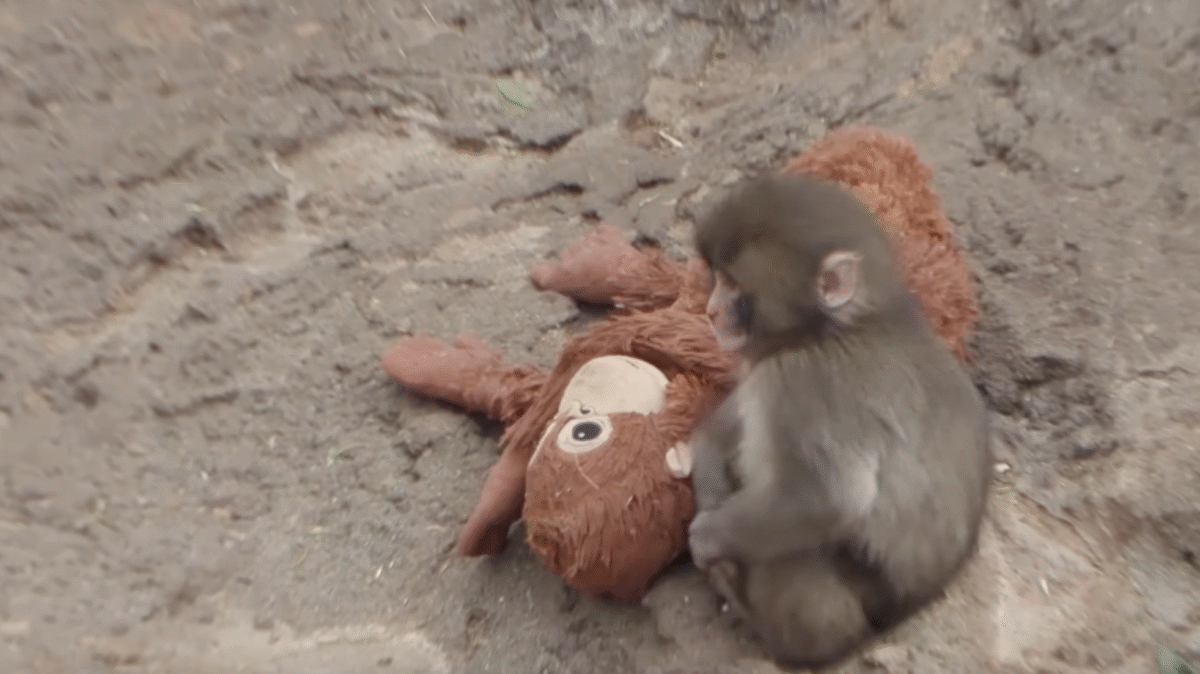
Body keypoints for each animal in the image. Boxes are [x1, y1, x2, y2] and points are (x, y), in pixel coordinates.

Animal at [686, 172, 992, 668]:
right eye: (718, 280)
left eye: (733, 286)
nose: (711, 311)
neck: (843, 326)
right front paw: (707, 465)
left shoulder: (802, 381)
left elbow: (824, 500)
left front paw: (709, 537)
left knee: (794, 556)